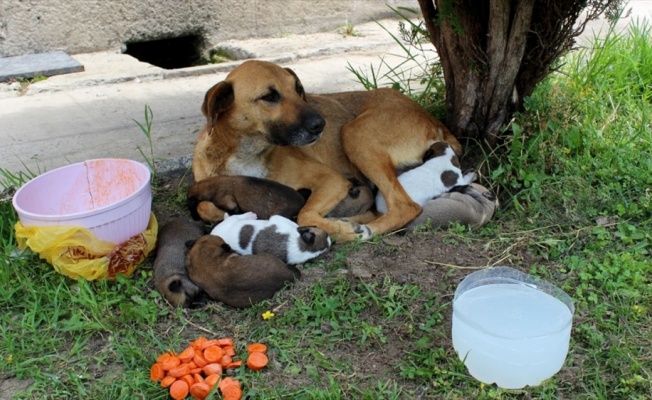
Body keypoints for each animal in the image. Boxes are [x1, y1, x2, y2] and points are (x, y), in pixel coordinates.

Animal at [191, 59, 460, 241]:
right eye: (269, 96)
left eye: (298, 89)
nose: (320, 124)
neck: (247, 153)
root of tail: (431, 118)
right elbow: (205, 207)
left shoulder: (331, 179)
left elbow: (305, 214)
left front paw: (341, 230)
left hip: (354, 134)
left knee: (405, 206)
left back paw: (361, 229)